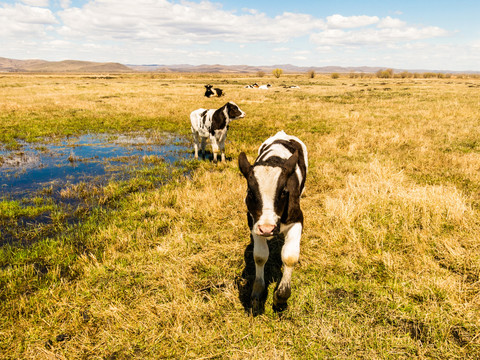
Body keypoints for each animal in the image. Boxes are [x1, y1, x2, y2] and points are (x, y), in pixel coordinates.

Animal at [239, 130, 308, 312]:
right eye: (250, 192)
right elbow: (260, 256)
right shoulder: (254, 223)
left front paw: (281, 296)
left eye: (284, 191)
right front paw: (257, 291)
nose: (267, 229)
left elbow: (290, 256)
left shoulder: (297, 218)